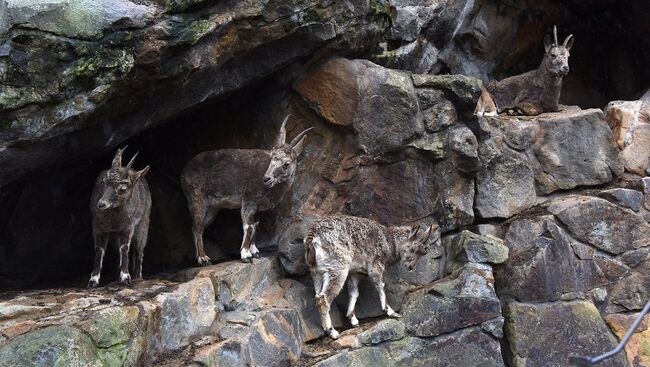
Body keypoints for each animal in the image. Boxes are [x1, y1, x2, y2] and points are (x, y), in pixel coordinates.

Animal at [87, 148, 151, 288]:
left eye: (122, 189)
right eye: (104, 182)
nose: (101, 204)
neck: (113, 220)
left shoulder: (127, 227)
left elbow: (124, 248)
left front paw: (126, 277)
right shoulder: (98, 227)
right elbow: (99, 250)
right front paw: (93, 280)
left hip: (144, 222)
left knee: (139, 250)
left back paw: (138, 276)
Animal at [180, 116, 312, 266]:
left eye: (286, 163)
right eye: (271, 157)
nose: (266, 179)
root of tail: (184, 171)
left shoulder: (261, 208)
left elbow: (255, 226)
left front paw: (255, 252)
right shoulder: (249, 200)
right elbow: (248, 226)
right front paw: (245, 255)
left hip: (213, 207)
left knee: (200, 226)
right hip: (196, 198)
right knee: (196, 226)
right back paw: (203, 259)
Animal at [304, 216, 440, 340]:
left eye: (423, 253)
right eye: (413, 249)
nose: (410, 267)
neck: (389, 241)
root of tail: (313, 236)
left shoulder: (354, 273)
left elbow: (354, 293)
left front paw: (353, 319)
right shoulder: (375, 264)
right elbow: (381, 285)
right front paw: (390, 311)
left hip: (316, 272)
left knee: (318, 296)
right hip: (337, 267)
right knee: (324, 299)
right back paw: (332, 332)